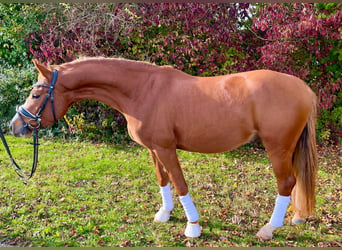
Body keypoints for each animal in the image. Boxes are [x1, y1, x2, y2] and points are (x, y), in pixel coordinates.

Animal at [8, 57, 318, 241]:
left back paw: (269, 228)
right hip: (288, 148)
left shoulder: (167, 148)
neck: (143, 90)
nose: (14, 126)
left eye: (36, 94)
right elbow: (163, 180)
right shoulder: (153, 149)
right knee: (295, 180)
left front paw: (193, 226)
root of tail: (303, 88)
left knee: (286, 182)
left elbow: (180, 184)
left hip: (277, 147)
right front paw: (165, 214)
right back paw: (296, 217)